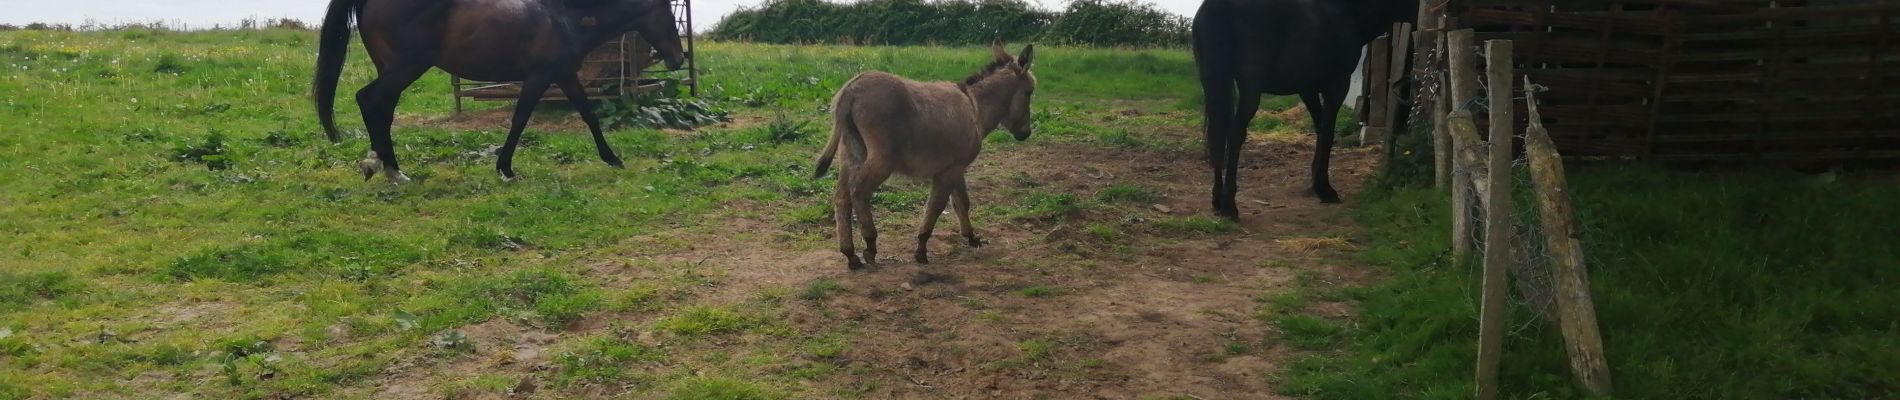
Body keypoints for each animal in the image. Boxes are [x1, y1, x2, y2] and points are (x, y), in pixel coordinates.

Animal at [315, 0, 687, 181]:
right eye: (666, 12)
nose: (678, 58)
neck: (562, 15)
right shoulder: (539, 76)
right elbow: (520, 120)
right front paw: (506, 169)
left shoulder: (563, 74)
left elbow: (588, 114)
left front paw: (611, 158)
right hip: (406, 66)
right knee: (370, 101)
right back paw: (388, 169)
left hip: (394, 68)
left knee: (382, 109)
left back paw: (386, 166)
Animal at [805, 40, 1033, 271]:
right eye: (1029, 92)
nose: (1026, 134)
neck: (974, 106)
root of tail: (849, 90)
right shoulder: (948, 171)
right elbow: (936, 207)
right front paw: (921, 248)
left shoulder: (956, 168)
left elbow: (961, 203)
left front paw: (971, 237)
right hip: (882, 159)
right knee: (859, 190)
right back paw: (870, 245)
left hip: (851, 153)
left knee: (842, 197)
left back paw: (850, 255)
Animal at [1193, 0, 1421, 218]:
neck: (1348, 11)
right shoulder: (1337, 86)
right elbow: (1328, 133)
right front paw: (1325, 189)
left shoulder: (1308, 89)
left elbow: (1320, 129)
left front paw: (1316, 183)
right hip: (1250, 88)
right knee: (1234, 134)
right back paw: (1229, 207)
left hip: (1212, 80)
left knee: (1219, 134)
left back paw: (1217, 200)